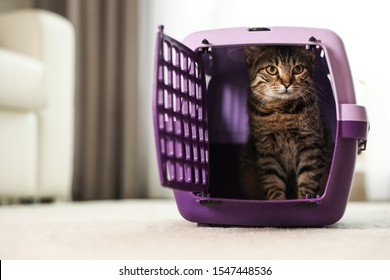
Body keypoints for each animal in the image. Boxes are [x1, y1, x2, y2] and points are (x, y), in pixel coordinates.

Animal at [241, 45, 332, 199]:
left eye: (298, 69)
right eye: (271, 69)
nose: (286, 83)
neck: (282, 111)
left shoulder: (310, 145)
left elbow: (308, 180)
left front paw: (303, 200)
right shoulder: (266, 151)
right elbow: (272, 182)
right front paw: (278, 201)